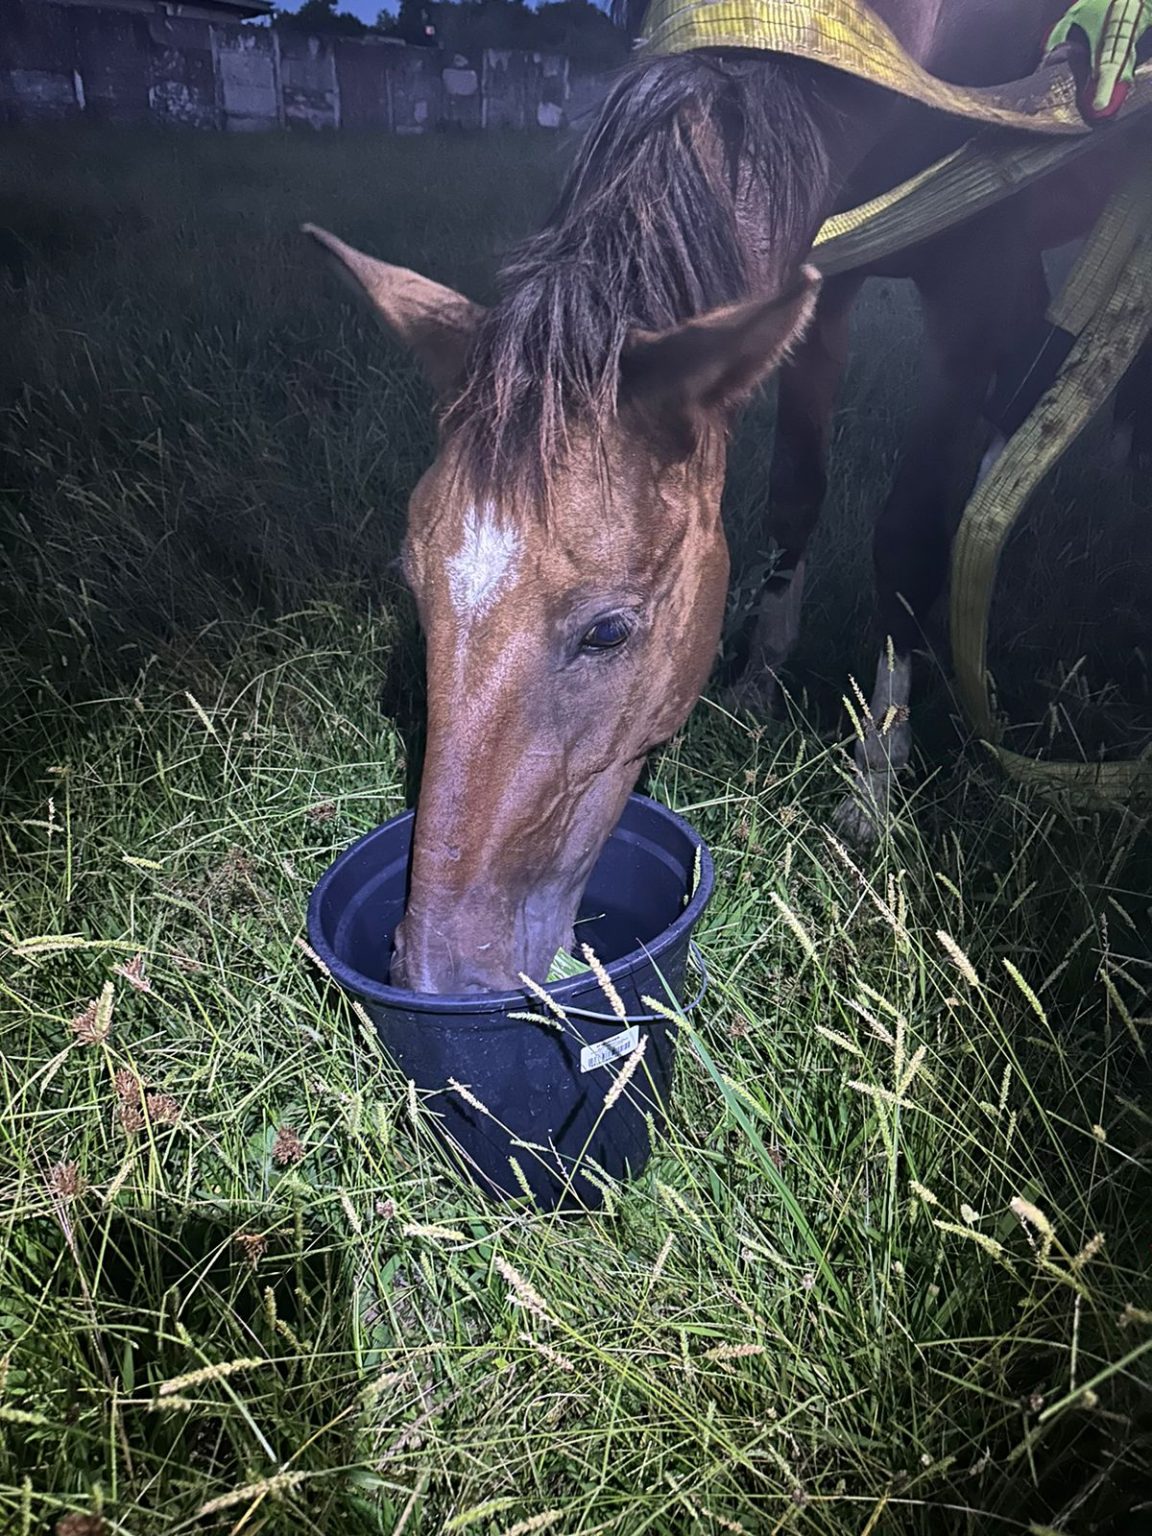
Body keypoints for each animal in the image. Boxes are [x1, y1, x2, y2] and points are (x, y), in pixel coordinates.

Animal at [306, 0, 1147, 994]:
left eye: (608, 632)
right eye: (415, 586)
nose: (439, 974)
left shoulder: (977, 279)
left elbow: (904, 534)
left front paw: (873, 781)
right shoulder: (819, 287)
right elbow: (795, 493)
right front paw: (757, 680)